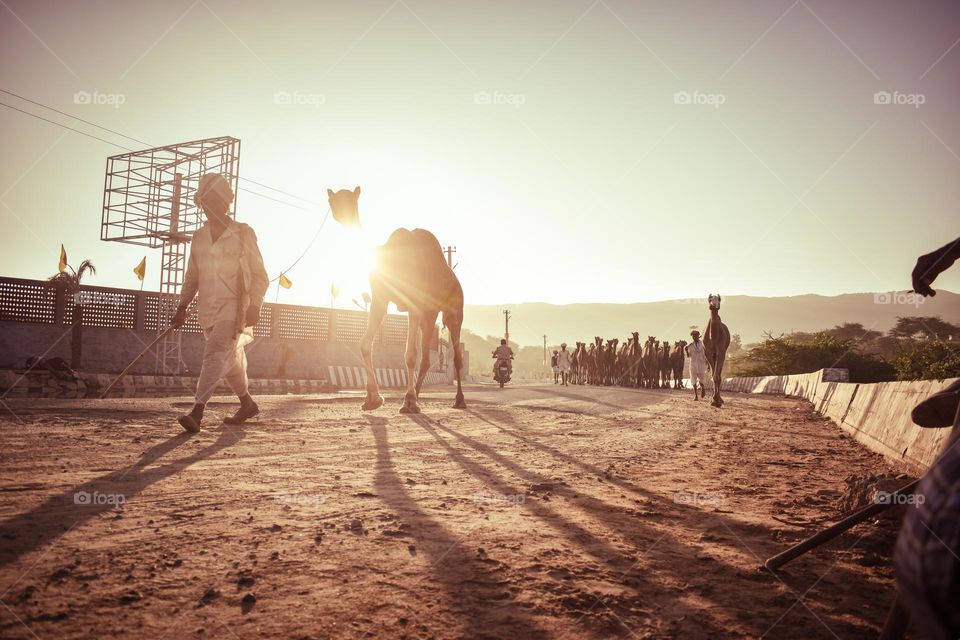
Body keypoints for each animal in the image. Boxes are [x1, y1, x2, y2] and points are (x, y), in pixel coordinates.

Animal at [328, 188, 466, 412]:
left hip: (455, 310)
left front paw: (408, 400)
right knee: (426, 358)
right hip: (429, 314)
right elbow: (364, 344)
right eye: (332, 200)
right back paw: (417, 395)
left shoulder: (413, 304)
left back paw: (458, 400)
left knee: (456, 357)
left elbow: (409, 355)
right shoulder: (380, 299)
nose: (340, 212)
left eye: (352, 199)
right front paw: (373, 398)